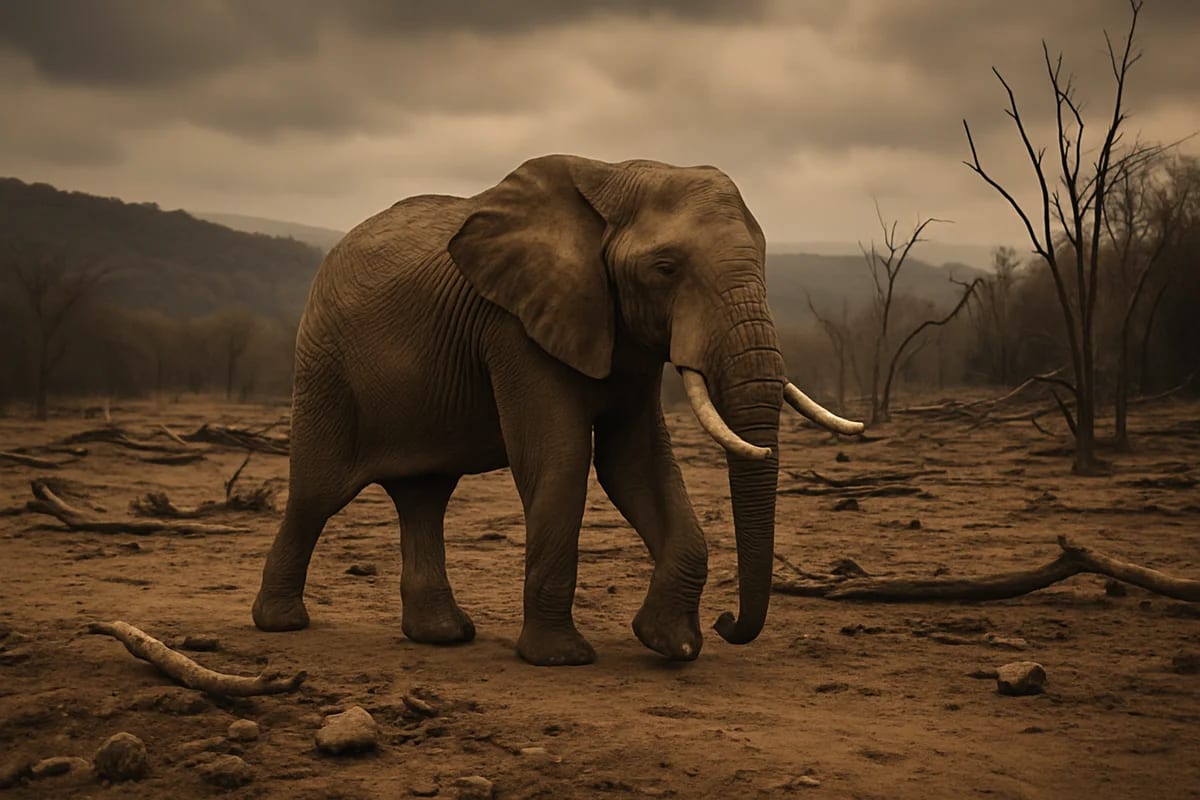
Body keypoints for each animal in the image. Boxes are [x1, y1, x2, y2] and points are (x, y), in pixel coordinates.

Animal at [251, 154, 863, 666]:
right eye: (665, 268)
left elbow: (637, 466)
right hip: (326, 370)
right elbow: (562, 459)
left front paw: (672, 645)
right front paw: (560, 657)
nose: (727, 621)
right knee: (317, 493)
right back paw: (281, 623)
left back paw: (443, 635)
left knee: (424, 496)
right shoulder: (514, 326)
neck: (617, 175)